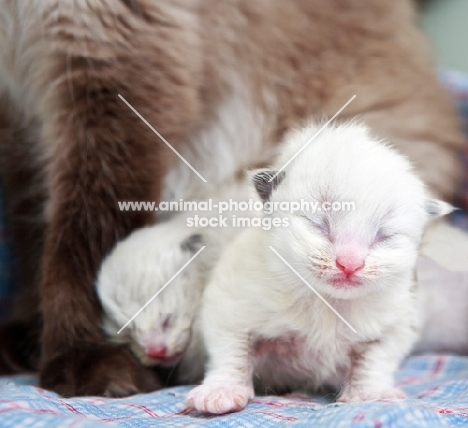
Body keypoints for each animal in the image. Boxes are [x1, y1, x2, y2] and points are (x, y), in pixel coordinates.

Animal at [187, 122, 454, 412]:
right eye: (319, 225)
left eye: (384, 236)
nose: (350, 264)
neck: (328, 302)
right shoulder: (228, 303)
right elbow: (231, 351)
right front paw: (221, 391)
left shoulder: (398, 321)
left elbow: (376, 360)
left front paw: (369, 394)